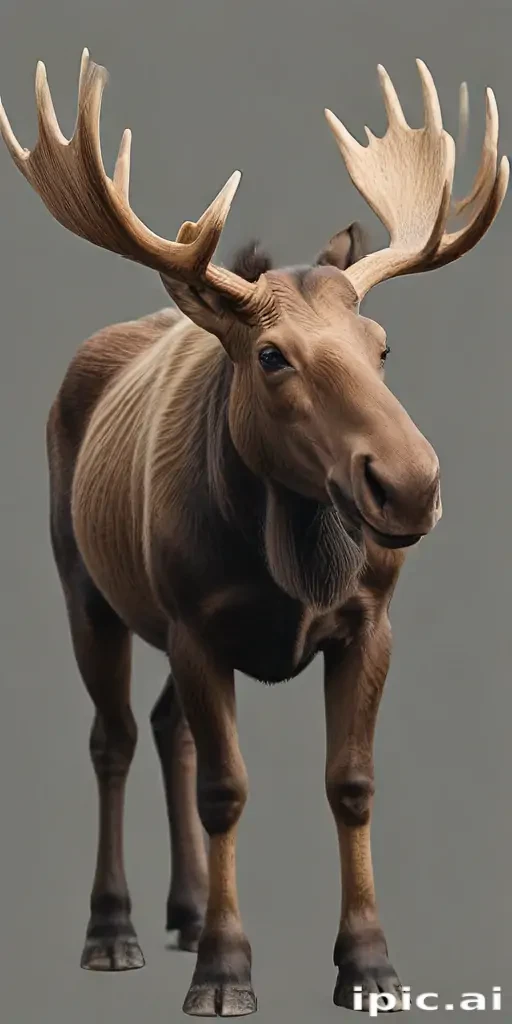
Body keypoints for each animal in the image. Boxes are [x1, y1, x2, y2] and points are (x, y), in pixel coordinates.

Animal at [0, 49, 508, 1017]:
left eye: (382, 344)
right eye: (272, 356)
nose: (411, 484)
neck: (289, 560)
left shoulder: (368, 624)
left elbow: (351, 784)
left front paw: (368, 963)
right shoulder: (196, 625)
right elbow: (227, 790)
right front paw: (225, 971)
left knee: (169, 726)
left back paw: (184, 910)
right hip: (84, 585)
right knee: (115, 737)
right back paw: (114, 929)